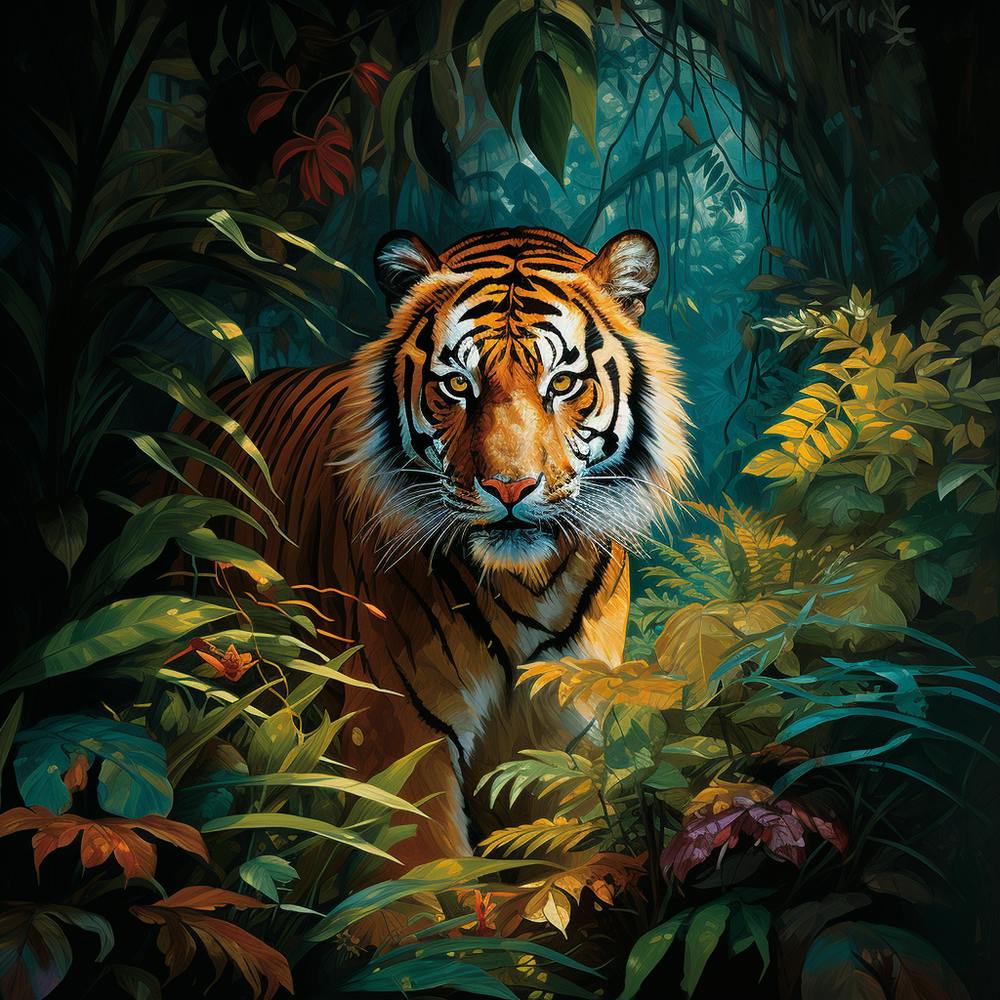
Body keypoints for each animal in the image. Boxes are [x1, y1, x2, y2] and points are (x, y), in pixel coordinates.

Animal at [181, 226, 693, 866]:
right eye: (456, 385)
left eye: (562, 383)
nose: (509, 487)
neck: (528, 587)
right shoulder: (401, 728)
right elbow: (427, 867)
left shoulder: (568, 729)